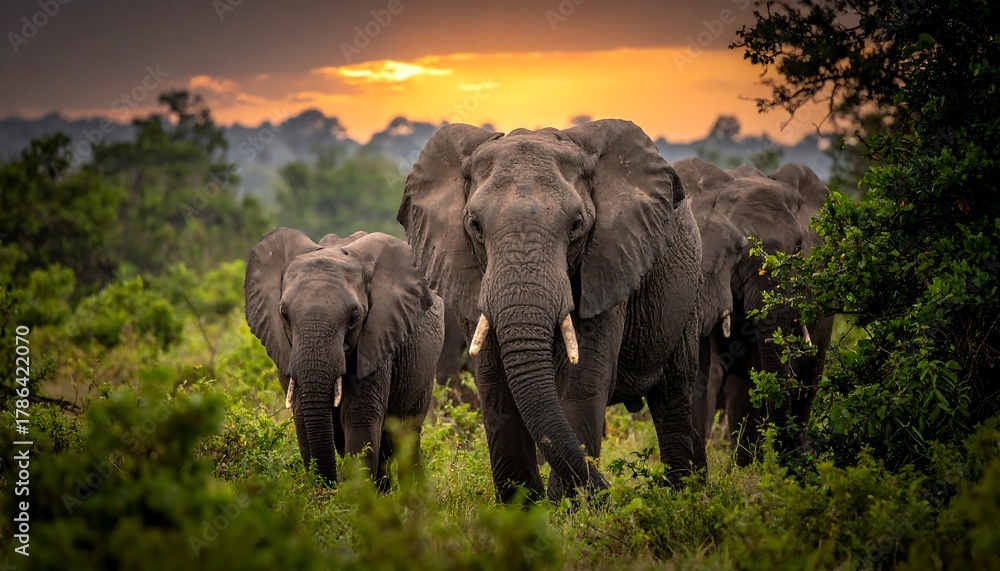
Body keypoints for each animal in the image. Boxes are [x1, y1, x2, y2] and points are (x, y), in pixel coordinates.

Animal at [244, 228, 444, 490]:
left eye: (353, 318)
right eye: (284, 315)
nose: (330, 486)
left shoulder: (377, 342)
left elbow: (359, 419)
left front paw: (354, 497)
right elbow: (302, 417)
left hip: (424, 374)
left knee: (406, 435)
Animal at [397, 119, 704, 502]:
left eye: (576, 226)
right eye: (475, 226)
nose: (615, 493)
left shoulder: (608, 264)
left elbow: (582, 381)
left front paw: (571, 509)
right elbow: (494, 384)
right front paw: (523, 510)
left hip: (688, 292)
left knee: (675, 395)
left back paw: (686, 496)